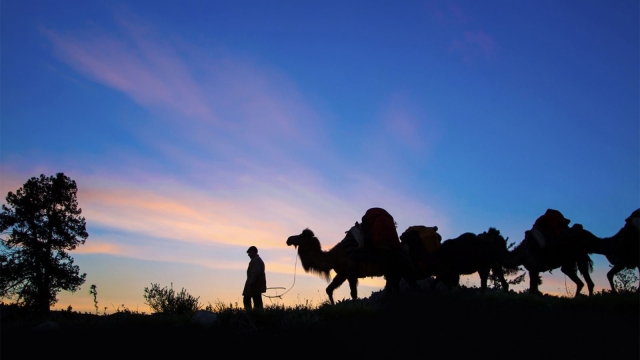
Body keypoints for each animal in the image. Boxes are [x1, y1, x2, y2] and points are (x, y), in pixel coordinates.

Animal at [286, 228, 416, 304]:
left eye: (301, 236)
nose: (288, 239)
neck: (333, 257)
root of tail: (404, 249)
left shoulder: (350, 273)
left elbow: (353, 294)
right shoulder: (343, 274)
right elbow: (329, 290)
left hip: (403, 268)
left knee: (411, 284)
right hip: (392, 272)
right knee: (394, 288)